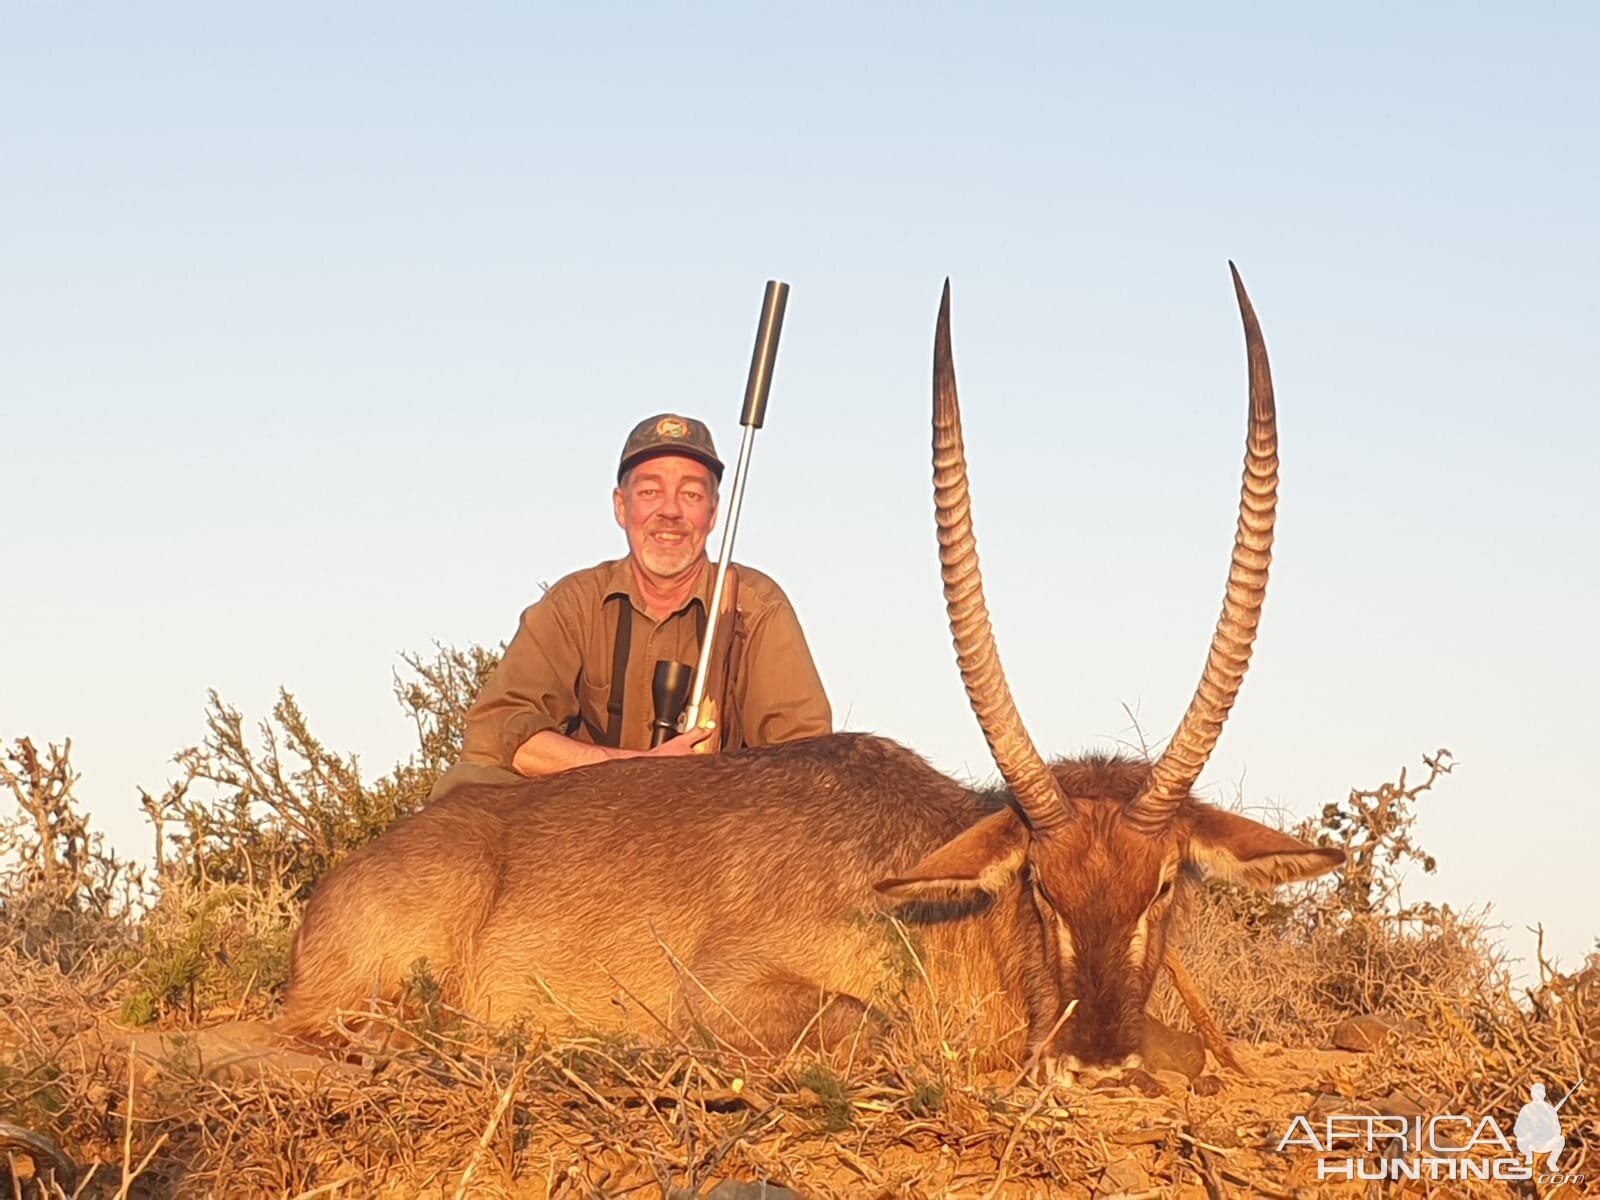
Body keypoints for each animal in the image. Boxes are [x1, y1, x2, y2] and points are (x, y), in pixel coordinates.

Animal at [281, 267, 1344, 1075]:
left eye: (1163, 886)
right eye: (1041, 886)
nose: (1096, 1060)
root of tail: (341, 881)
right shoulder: (724, 991)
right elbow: (878, 1031)